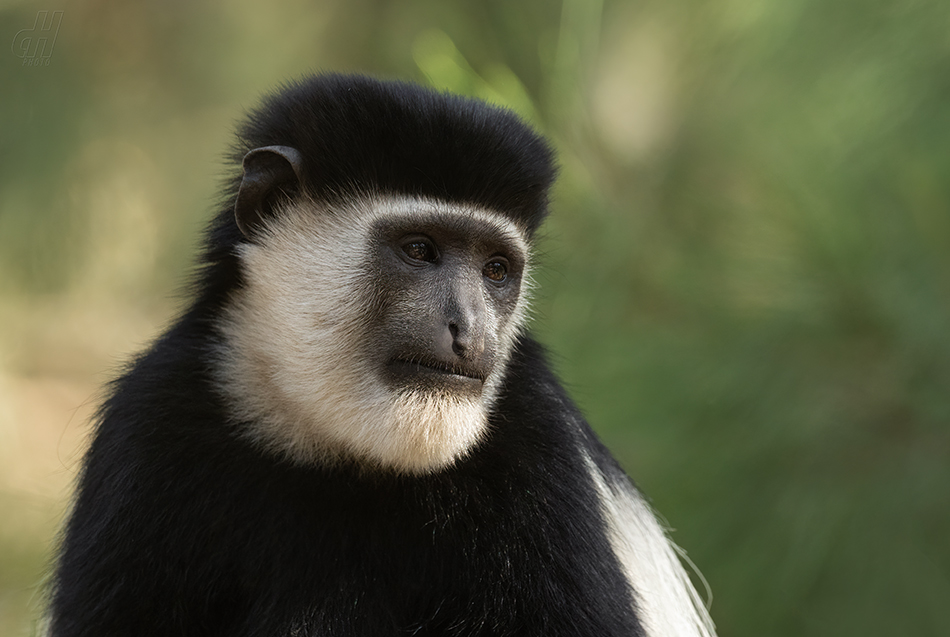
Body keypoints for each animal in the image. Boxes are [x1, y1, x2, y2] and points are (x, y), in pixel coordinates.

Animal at [46, 72, 712, 632]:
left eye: (496, 270)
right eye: (419, 250)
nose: (469, 330)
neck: (343, 453)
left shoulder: (536, 448)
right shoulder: (151, 424)